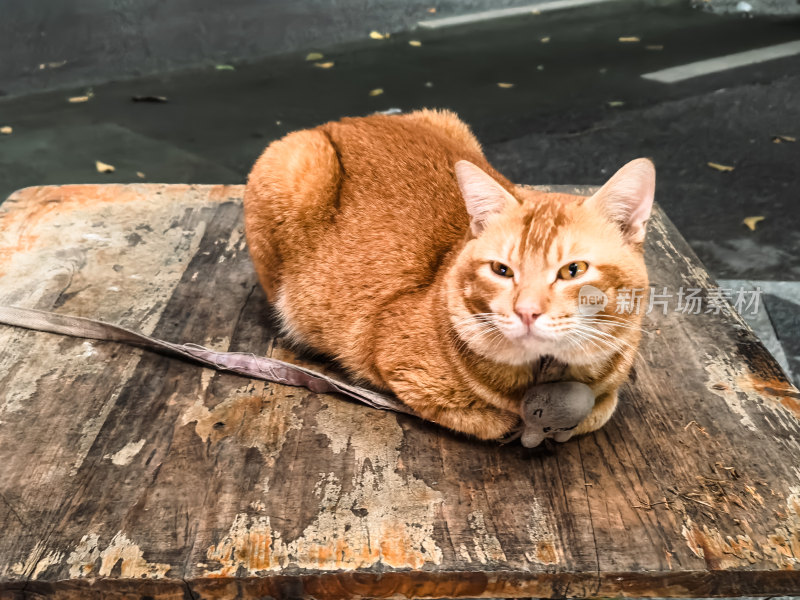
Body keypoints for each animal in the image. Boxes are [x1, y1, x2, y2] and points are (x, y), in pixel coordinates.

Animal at [242, 110, 648, 440]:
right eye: (502, 270)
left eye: (573, 270)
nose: (527, 312)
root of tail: (340, 120)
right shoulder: (393, 358)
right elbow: (492, 420)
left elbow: (599, 408)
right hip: (294, 164)